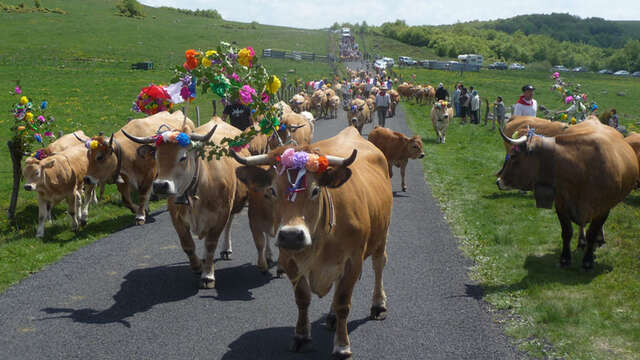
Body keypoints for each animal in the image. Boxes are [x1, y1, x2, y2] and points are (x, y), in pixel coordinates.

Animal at [122, 119, 250, 288]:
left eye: (183, 157)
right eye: (156, 156)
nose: (160, 185)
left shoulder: (221, 215)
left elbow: (211, 244)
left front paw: (208, 275)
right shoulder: (176, 217)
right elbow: (187, 245)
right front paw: (197, 266)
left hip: (234, 203)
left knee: (228, 225)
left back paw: (226, 250)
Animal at [232, 125, 392, 358]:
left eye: (315, 190)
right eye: (271, 190)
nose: (291, 235)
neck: (320, 239)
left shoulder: (353, 262)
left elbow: (344, 303)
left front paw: (342, 345)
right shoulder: (289, 261)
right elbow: (302, 299)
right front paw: (300, 336)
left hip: (382, 235)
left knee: (379, 265)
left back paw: (378, 305)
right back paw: (332, 316)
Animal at [500, 121, 640, 270]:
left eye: (513, 155)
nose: (498, 181)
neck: (581, 168)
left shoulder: (603, 209)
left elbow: (592, 232)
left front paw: (588, 260)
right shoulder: (561, 205)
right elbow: (567, 232)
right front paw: (565, 258)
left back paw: (598, 238)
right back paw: (581, 241)